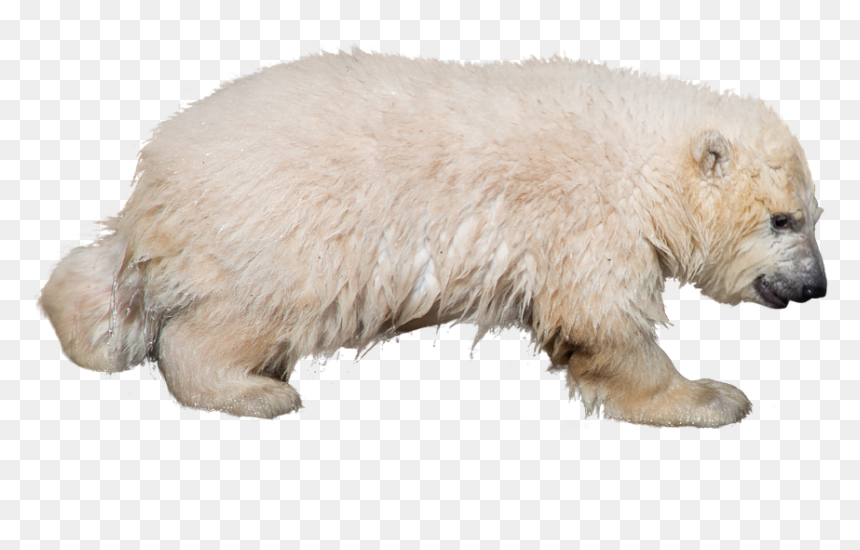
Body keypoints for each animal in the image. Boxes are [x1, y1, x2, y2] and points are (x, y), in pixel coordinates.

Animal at [39, 51, 827, 427]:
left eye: (813, 216)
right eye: (781, 220)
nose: (816, 286)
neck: (641, 160)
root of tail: (154, 188)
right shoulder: (586, 217)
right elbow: (601, 322)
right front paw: (714, 396)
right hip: (275, 234)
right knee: (229, 322)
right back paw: (257, 390)